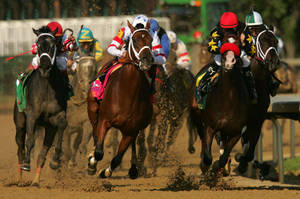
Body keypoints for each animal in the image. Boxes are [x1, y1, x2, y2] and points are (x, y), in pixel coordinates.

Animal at [13, 25, 67, 186]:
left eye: (53, 45)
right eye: (37, 45)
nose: (44, 65)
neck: (47, 87)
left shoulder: (57, 115)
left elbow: (62, 125)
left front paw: (55, 160)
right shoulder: (32, 115)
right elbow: (29, 141)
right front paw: (26, 164)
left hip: (48, 128)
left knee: (42, 153)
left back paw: (36, 180)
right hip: (20, 122)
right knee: (20, 148)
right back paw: (20, 178)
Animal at [86, 20, 152, 179]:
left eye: (151, 40)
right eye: (135, 40)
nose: (147, 60)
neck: (127, 94)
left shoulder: (131, 131)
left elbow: (117, 158)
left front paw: (105, 172)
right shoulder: (104, 121)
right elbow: (99, 152)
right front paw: (92, 163)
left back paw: (134, 168)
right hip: (93, 110)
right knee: (94, 133)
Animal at [190, 38, 248, 173]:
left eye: (238, 43)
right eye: (225, 41)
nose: (229, 61)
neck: (228, 100)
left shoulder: (236, 132)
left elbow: (224, 157)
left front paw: (221, 167)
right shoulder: (210, 127)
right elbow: (207, 157)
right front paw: (205, 166)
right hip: (197, 117)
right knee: (203, 139)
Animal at [237, 28, 282, 174]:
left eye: (276, 42)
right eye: (261, 41)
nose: (273, 62)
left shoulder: (259, 118)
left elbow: (251, 143)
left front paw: (244, 162)